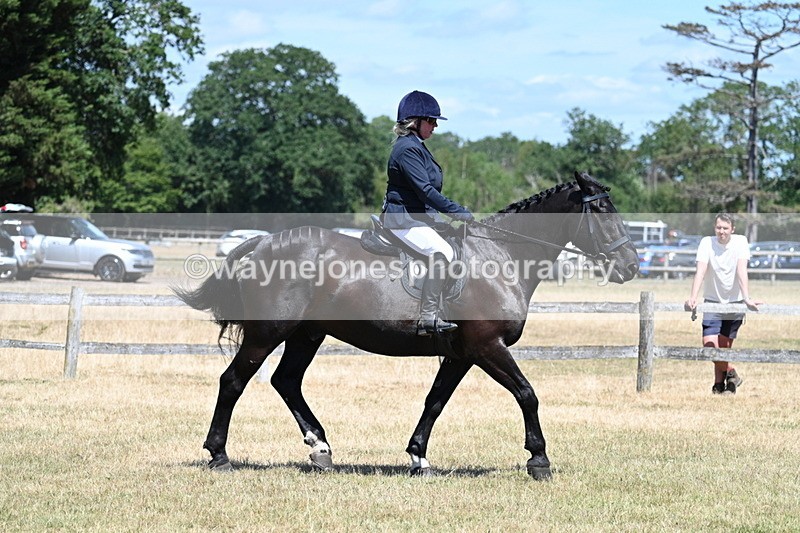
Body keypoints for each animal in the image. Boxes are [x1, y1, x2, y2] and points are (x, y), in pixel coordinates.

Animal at [175, 171, 639, 480]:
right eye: (601, 209)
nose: (631, 266)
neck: (501, 256)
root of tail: (263, 242)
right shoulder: (488, 347)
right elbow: (527, 394)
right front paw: (538, 460)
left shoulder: (461, 354)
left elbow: (435, 402)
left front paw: (418, 456)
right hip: (269, 331)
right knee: (234, 381)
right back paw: (219, 455)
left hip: (307, 334)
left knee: (286, 381)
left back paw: (321, 449)